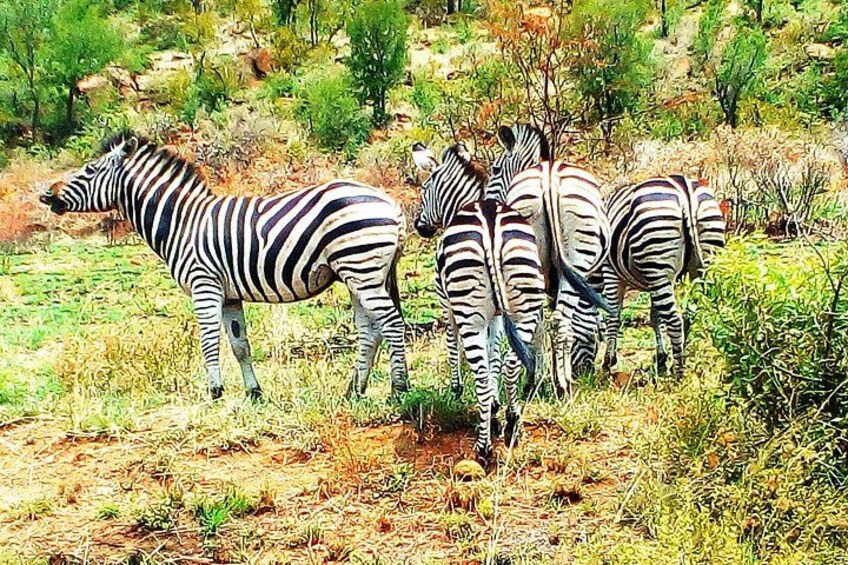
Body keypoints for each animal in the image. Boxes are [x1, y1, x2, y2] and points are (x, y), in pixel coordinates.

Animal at [39, 133, 410, 400]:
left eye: (89, 170)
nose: (46, 196)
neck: (181, 222)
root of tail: (390, 203)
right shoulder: (230, 295)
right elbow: (239, 345)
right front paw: (254, 393)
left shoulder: (203, 285)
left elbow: (208, 341)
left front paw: (215, 393)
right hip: (358, 274)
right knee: (370, 330)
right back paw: (355, 390)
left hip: (361, 267)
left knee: (391, 324)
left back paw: (399, 389)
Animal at [412, 142, 546, 463]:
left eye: (424, 189)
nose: (418, 226)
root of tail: (490, 225)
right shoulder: (496, 316)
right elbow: (494, 354)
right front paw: (497, 411)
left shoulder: (447, 306)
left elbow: (454, 346)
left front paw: (457, 389)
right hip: (524, 307)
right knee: (510, 363)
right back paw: (512, 422)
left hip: (469, 313)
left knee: (482, 377)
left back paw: (483, 448)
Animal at [485, 124, 612, 397]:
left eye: (495, 169)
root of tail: (548, 179)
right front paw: (559, 376)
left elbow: (541, 325)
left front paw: (540, 377)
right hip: (577, 260)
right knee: (561, 321)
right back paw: (565, 386)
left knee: (545, 322)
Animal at [602, 175, 726, 378]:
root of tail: (685, 191)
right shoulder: (654, 280)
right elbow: (655, 316)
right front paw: (661, 358)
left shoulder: (610, 272)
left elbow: (613, 315)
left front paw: (608, 361)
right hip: (702, 254)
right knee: (688, 315)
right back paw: (682, 355)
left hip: (657, 257)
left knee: (675, 320)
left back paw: (679, 372)